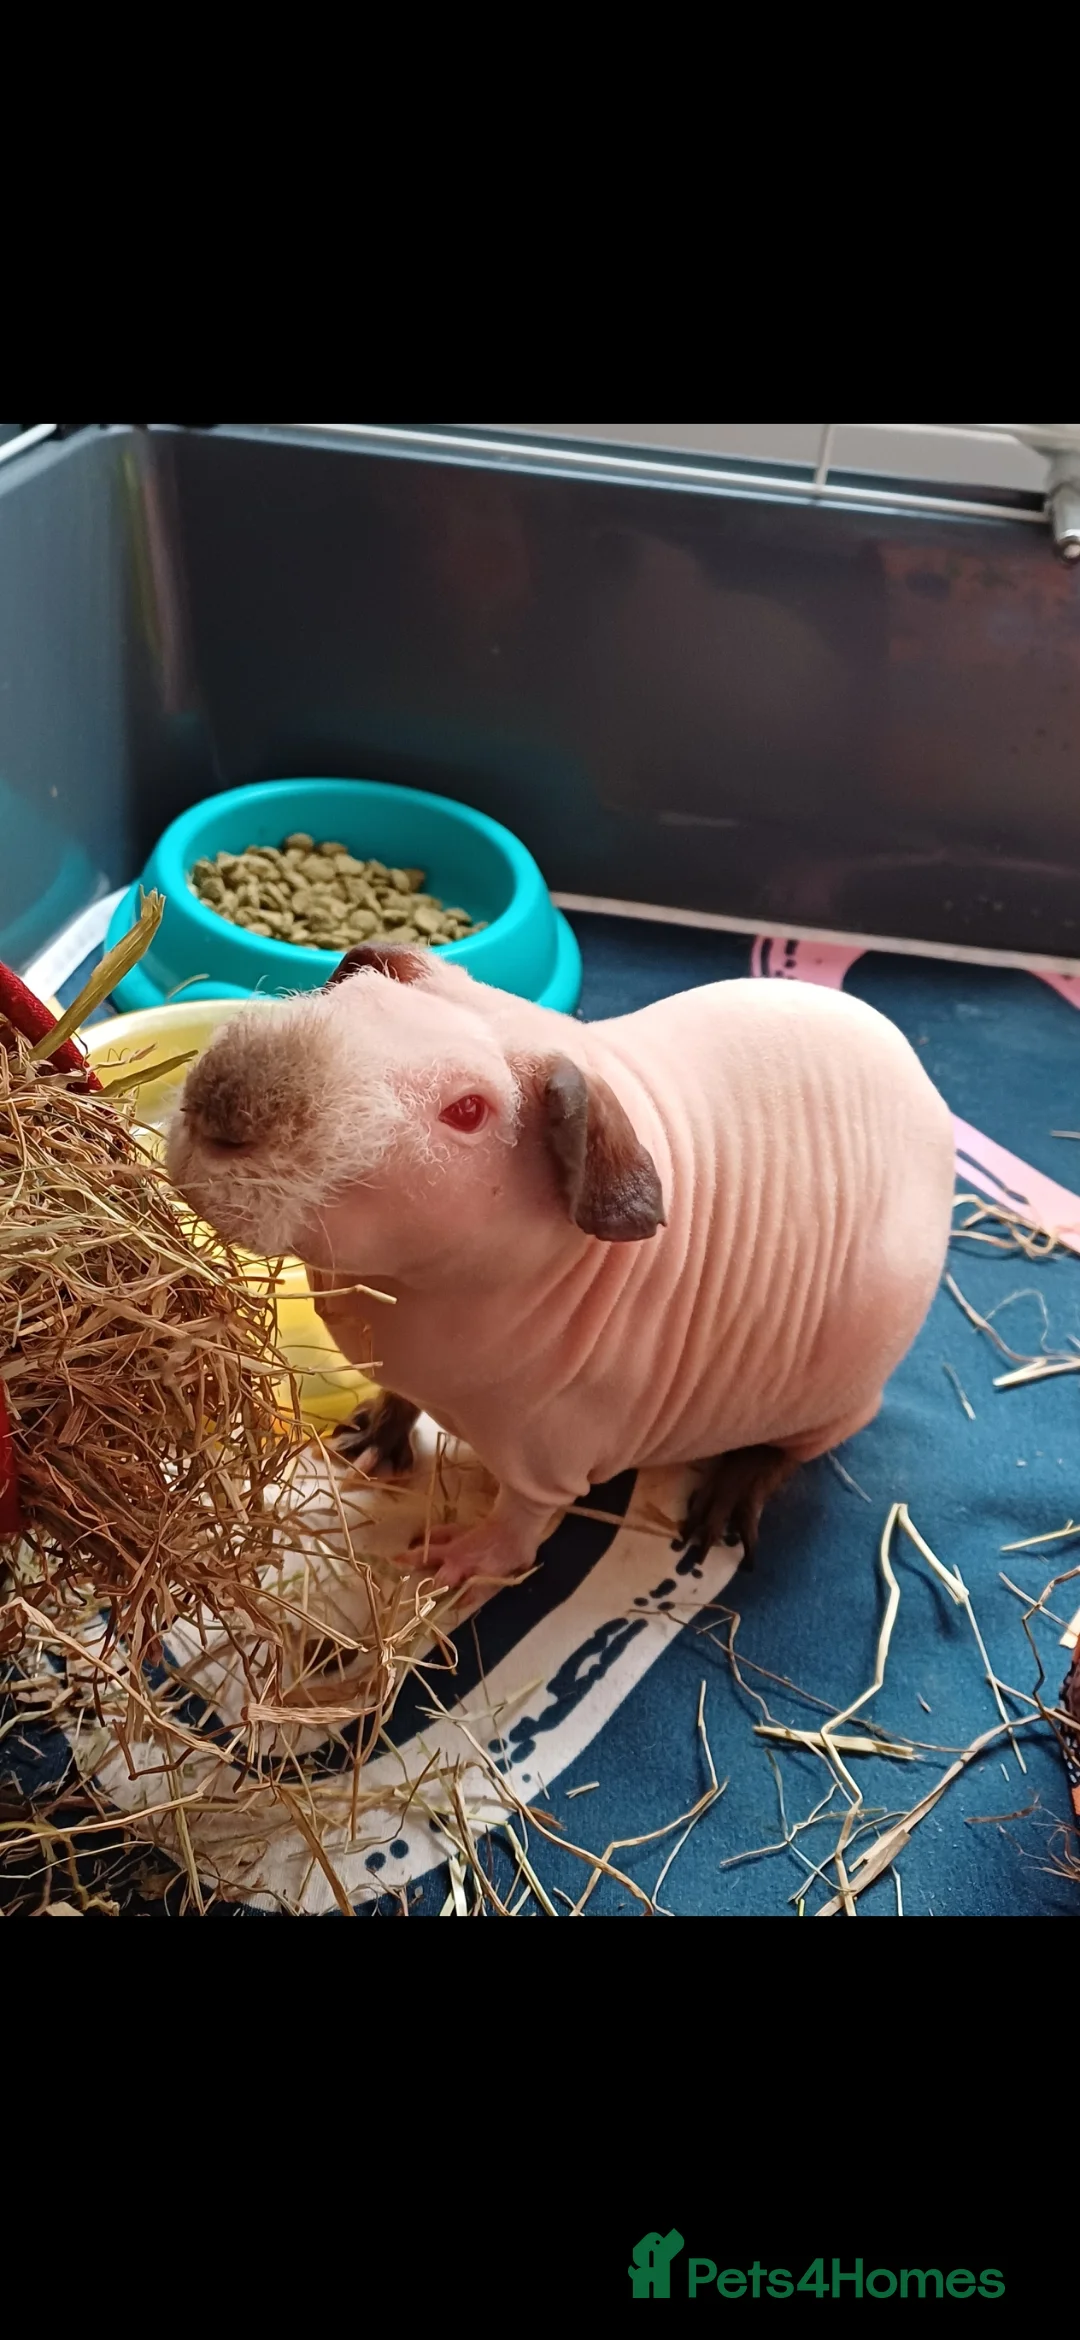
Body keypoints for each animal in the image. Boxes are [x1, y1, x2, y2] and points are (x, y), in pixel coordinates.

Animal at [166, 942, 955, 1590]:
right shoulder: (405, 1375)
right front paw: (362, 1446)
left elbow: (517, 1529)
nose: (221, 1111)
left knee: (785, 1454)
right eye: (348, 1001)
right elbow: (400, 1402)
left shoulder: (548, 1460)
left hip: (837, 1403)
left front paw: (444, 1562)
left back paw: (720, 1513)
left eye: (467, 1111)